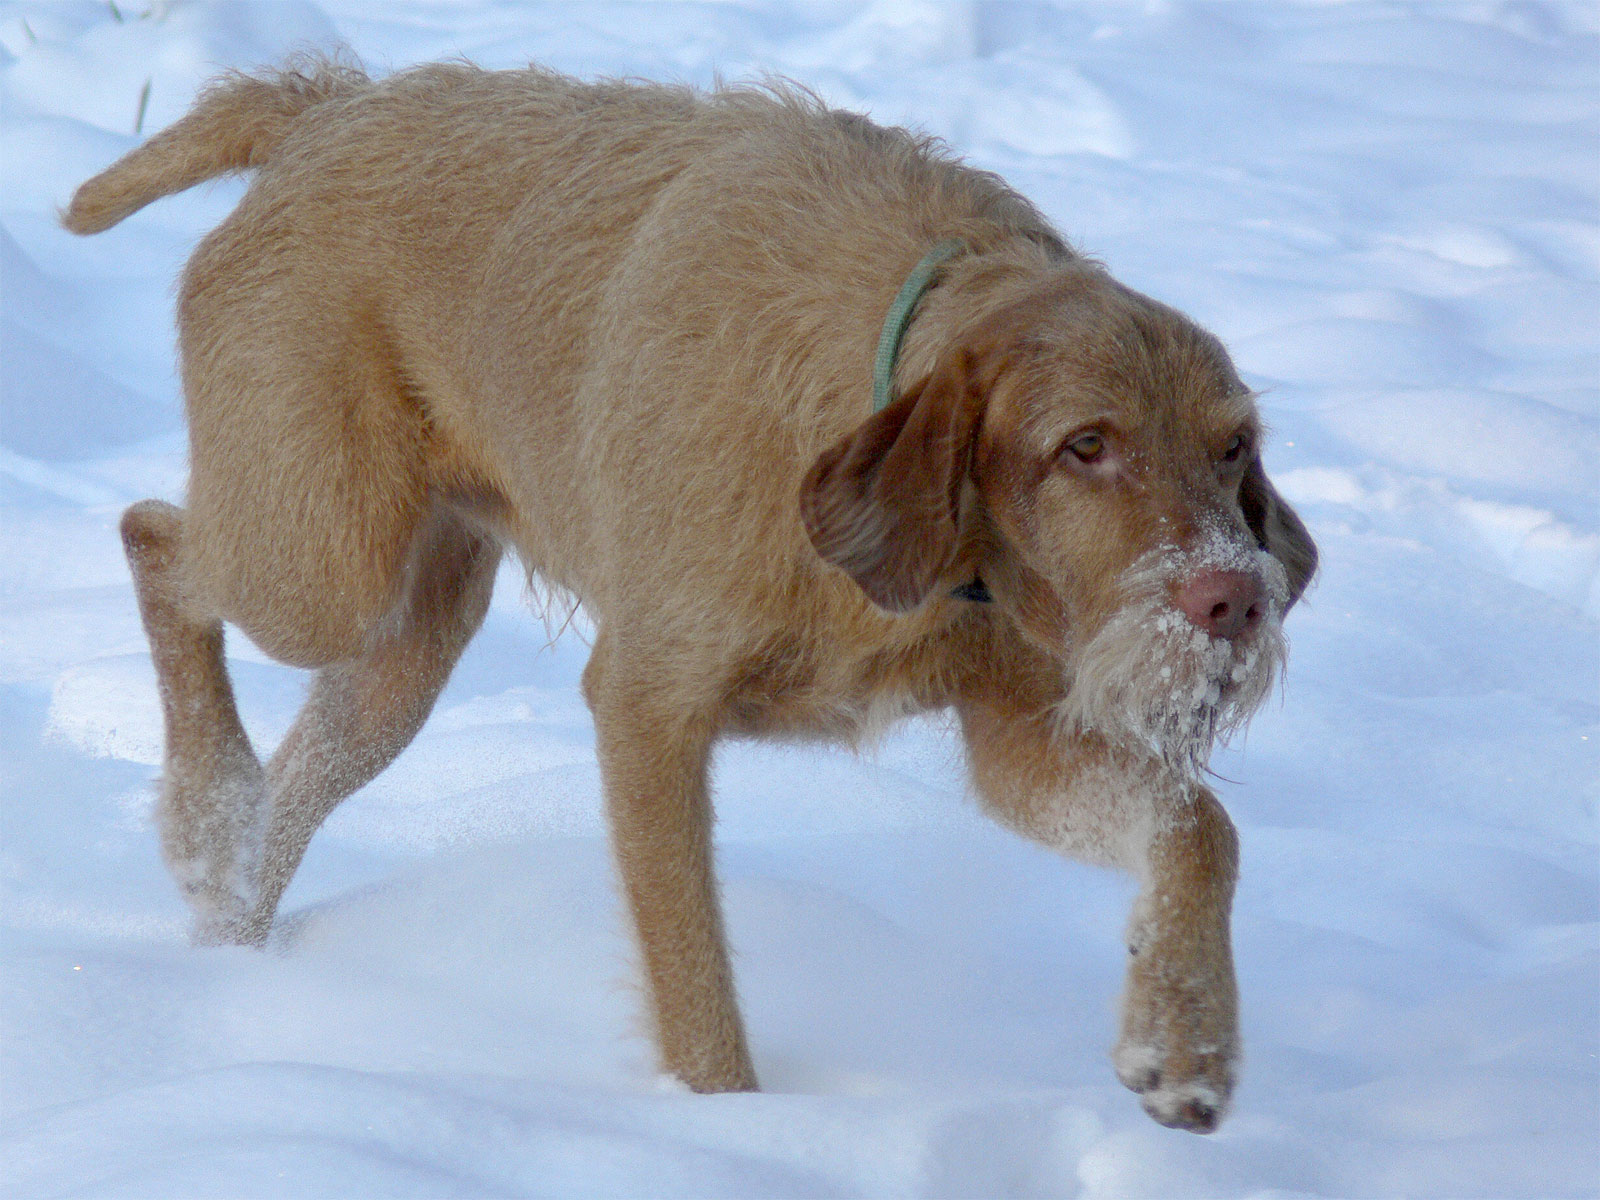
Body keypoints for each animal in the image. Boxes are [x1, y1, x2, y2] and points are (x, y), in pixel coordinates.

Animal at [65, 56, 1312, 1132]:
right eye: (1084, 447)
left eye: (1233, 448)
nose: (1235, 600)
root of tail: (326, 107)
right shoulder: (648, 708)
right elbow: (691, 971)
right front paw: (728, 1134)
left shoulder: (1017, 733)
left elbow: (1196, 828)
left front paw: (1184, 1040)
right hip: (321, 556)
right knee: (155, 539)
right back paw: (207, 813)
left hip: (405, 649)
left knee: (310, 759)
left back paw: (229, 920)